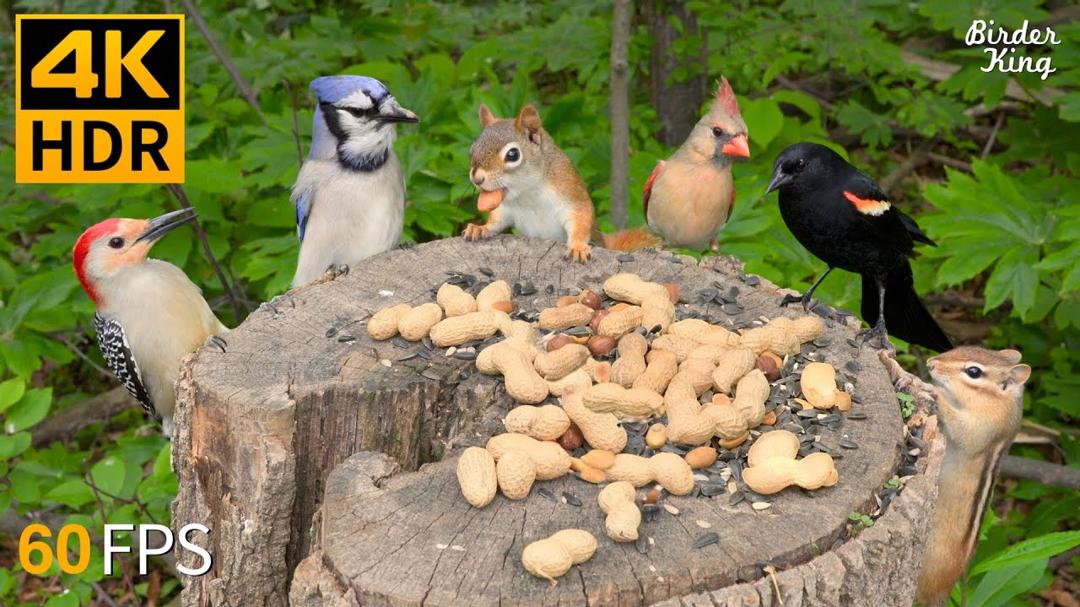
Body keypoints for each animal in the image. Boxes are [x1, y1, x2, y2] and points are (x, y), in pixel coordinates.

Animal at [464, 103, 658, 262]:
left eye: (513, 154)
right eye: (472, 150)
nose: (477, 179)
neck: (528, 192)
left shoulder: (569, 191)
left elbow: (581, 218)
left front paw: (578, 247)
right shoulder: (507, 209)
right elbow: (497, 221)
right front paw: (480, 228)